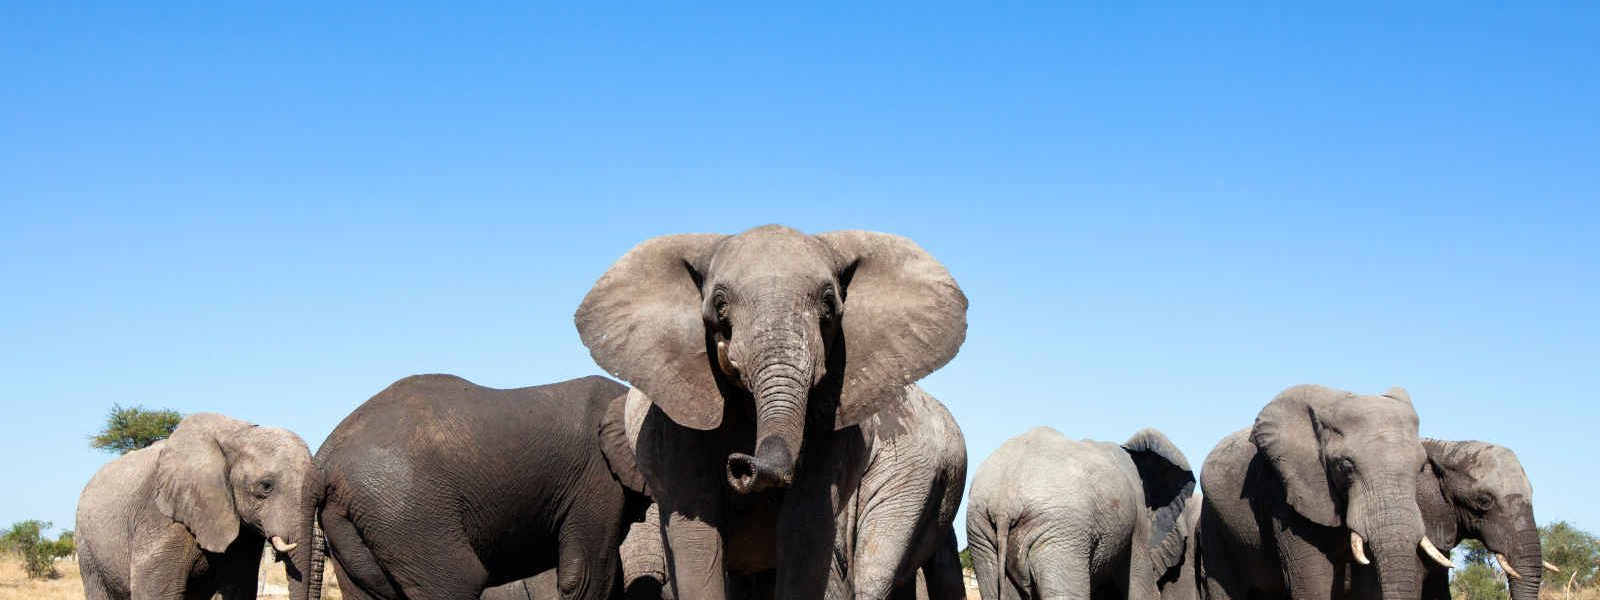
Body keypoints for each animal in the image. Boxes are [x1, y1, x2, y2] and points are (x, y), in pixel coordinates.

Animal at [76, 412, 315, 600]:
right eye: (266, 486)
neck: (238, 434)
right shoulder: (161, 519)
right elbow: (157, 593)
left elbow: (238, 589)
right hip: (88, 549)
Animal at [294, 376, 649, 600]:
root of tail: (322, 459)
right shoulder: (597, 478)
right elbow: (587, 574)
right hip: (404, 509)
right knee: (457, 581)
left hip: (353, 519)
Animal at [579, 224, 966, 600]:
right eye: (720, 304)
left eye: (829, 305)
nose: (741, 465)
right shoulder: (676, 419)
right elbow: (698, 537)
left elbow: (805, 527)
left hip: (911, 474)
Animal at [1203, 385, 1452, 600]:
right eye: (1346, 466)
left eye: (1421, 468)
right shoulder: (1285, 490)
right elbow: (1313, 580)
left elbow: (1367, 585)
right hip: (1214, 524)